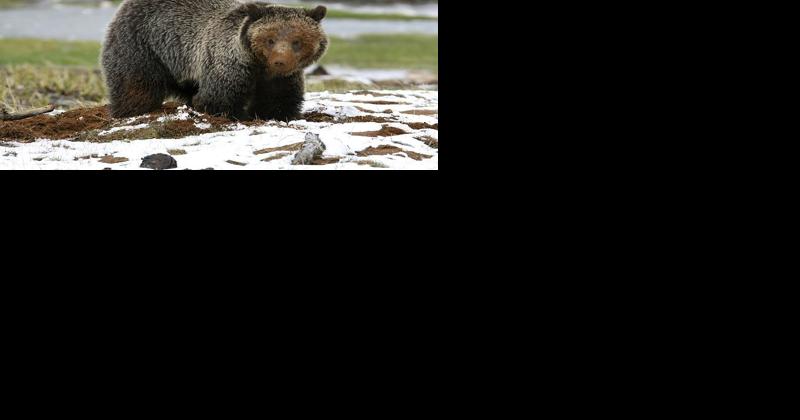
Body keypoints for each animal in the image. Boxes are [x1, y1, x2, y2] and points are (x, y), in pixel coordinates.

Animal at [100, 0, 329, 121]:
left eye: (297, 41)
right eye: (270, 39)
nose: (280, 61)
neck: (259, 67)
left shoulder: (280, 80)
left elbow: (278, 101)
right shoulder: (229, 66)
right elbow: (217, 98)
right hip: (142, 44)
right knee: (136, 84)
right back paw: (130, 110)